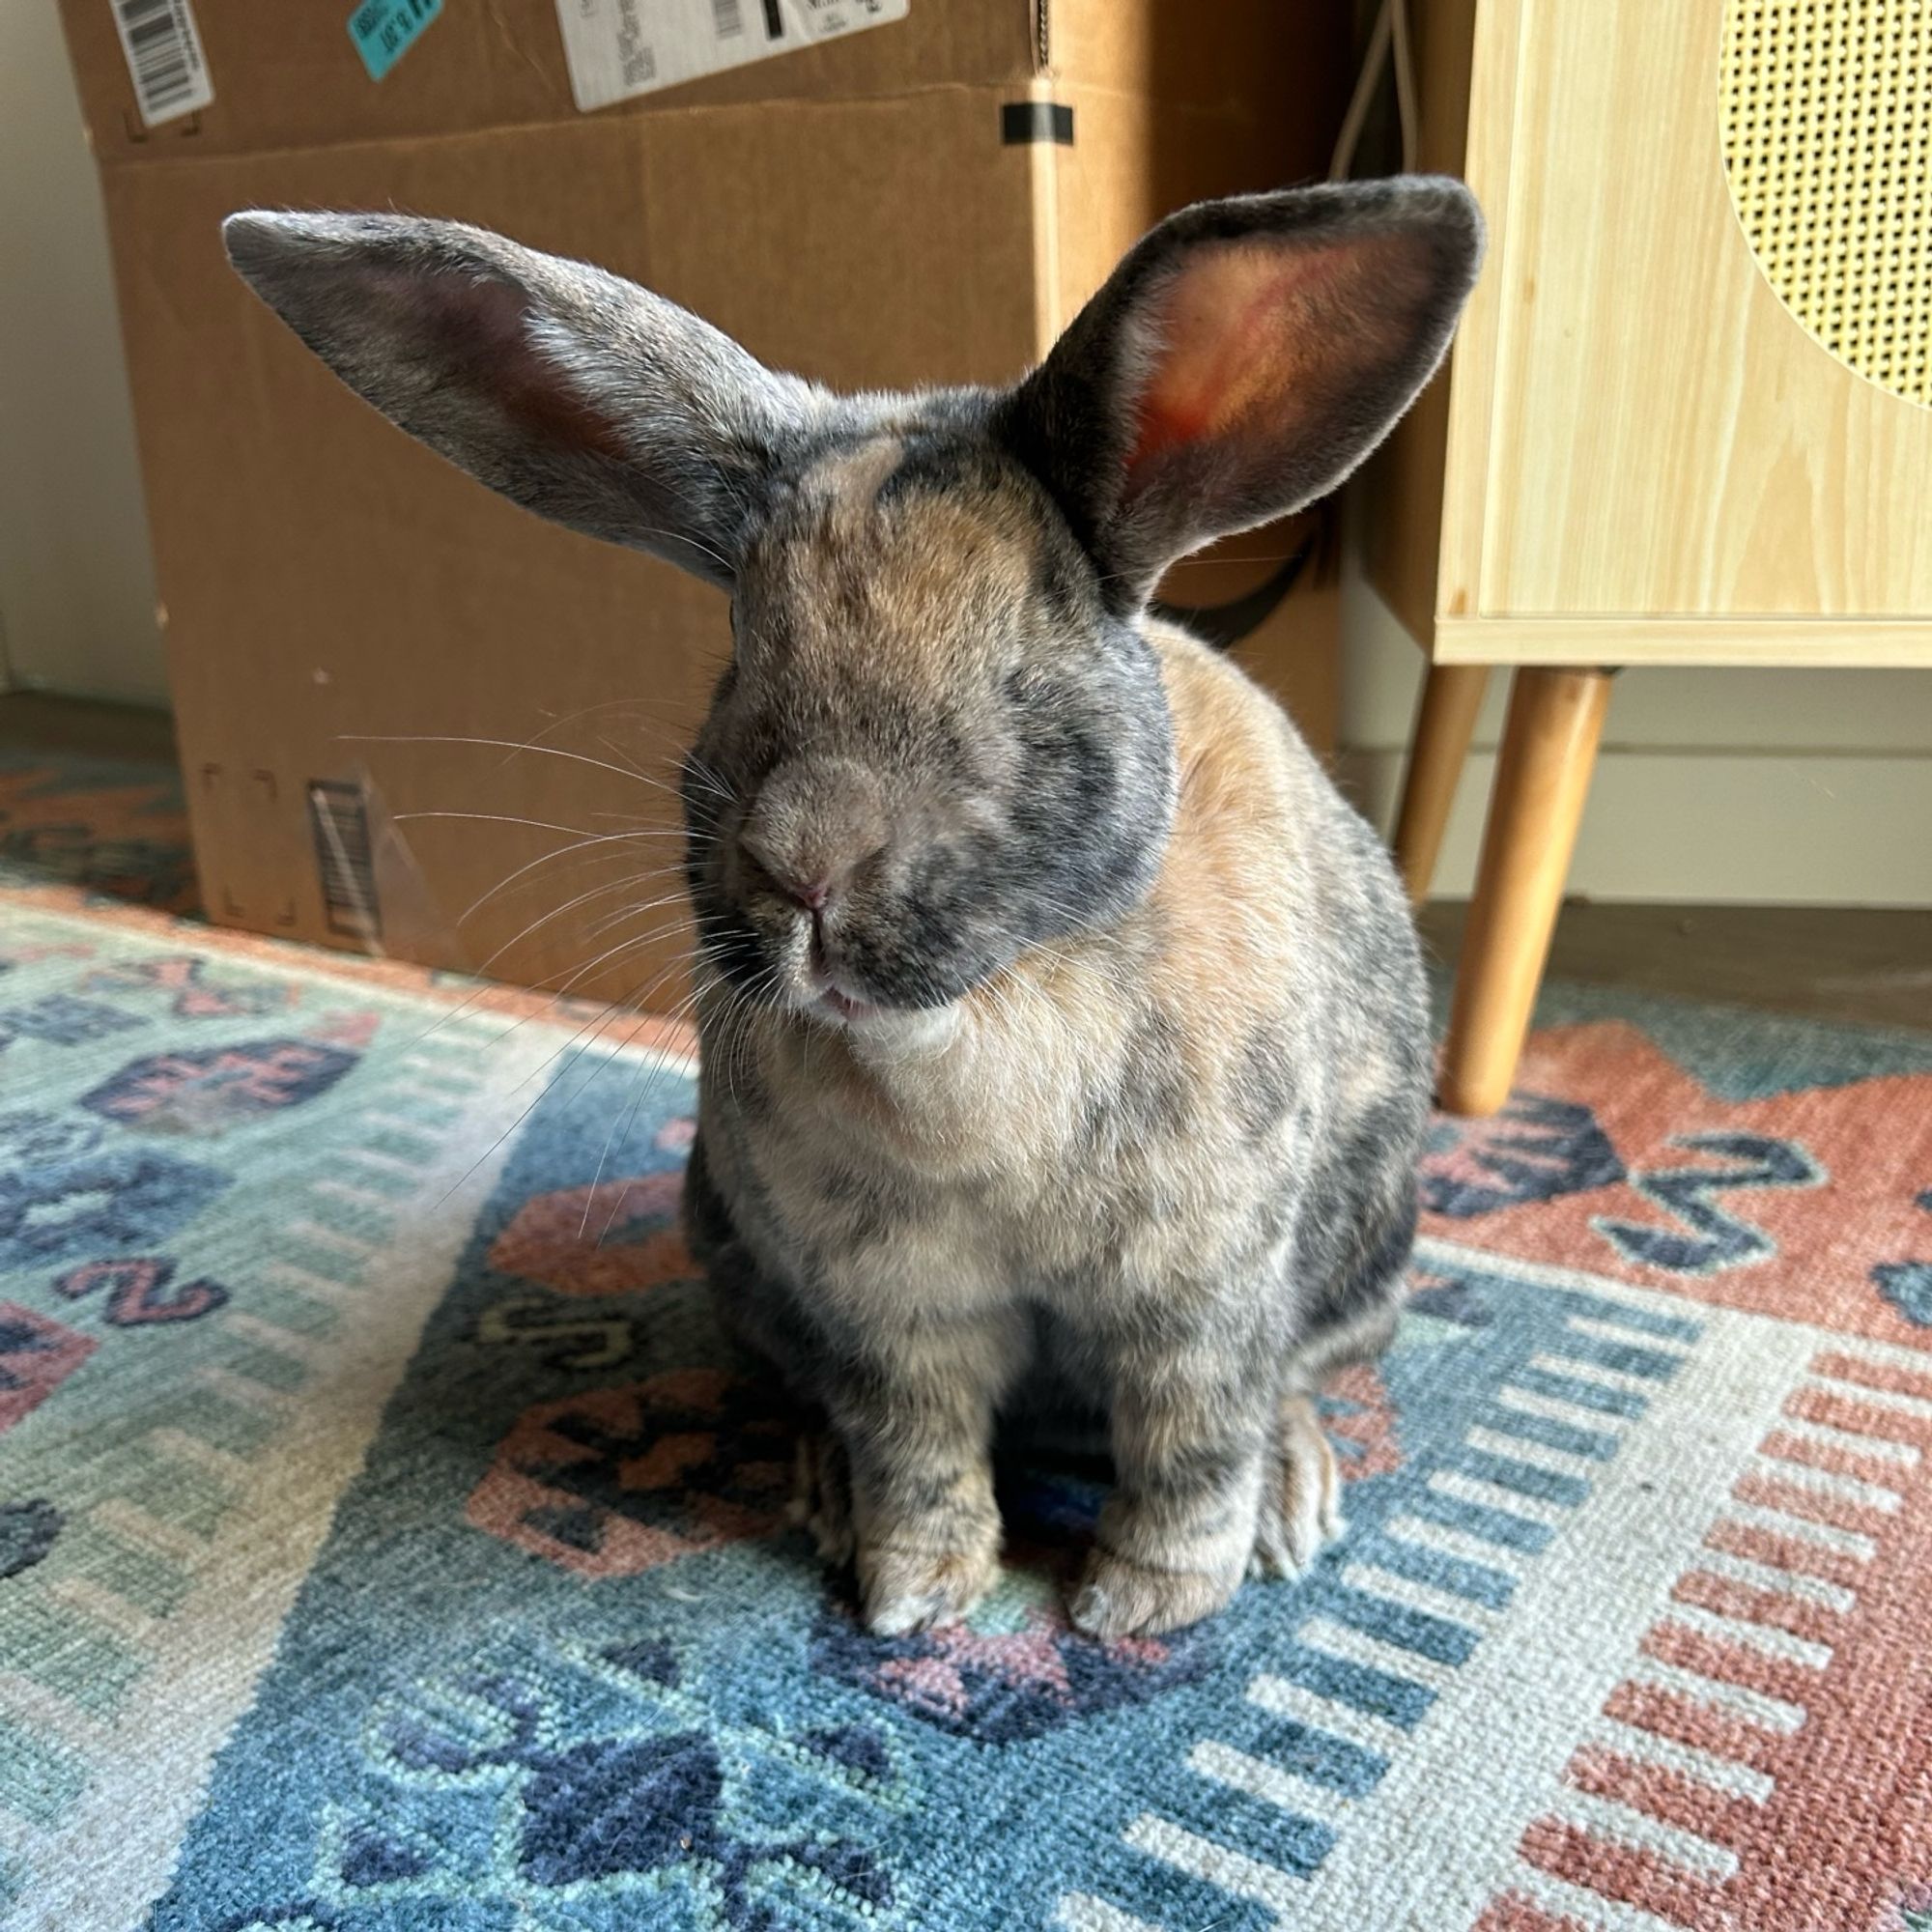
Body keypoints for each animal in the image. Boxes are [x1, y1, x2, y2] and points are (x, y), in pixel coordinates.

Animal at [230, 178, 1492, 1631]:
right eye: (739, 653)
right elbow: (915, 1441)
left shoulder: (1199, 1302)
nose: (803, 867)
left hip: (1366, 1259)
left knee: (1293, 1385)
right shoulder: (886, 1316)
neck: (965, 1026)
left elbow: (1192, 1442)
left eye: (1017, 671)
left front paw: (1141, 1606)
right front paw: (916, 1591)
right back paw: (824, 1489)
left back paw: (1295, 1498)